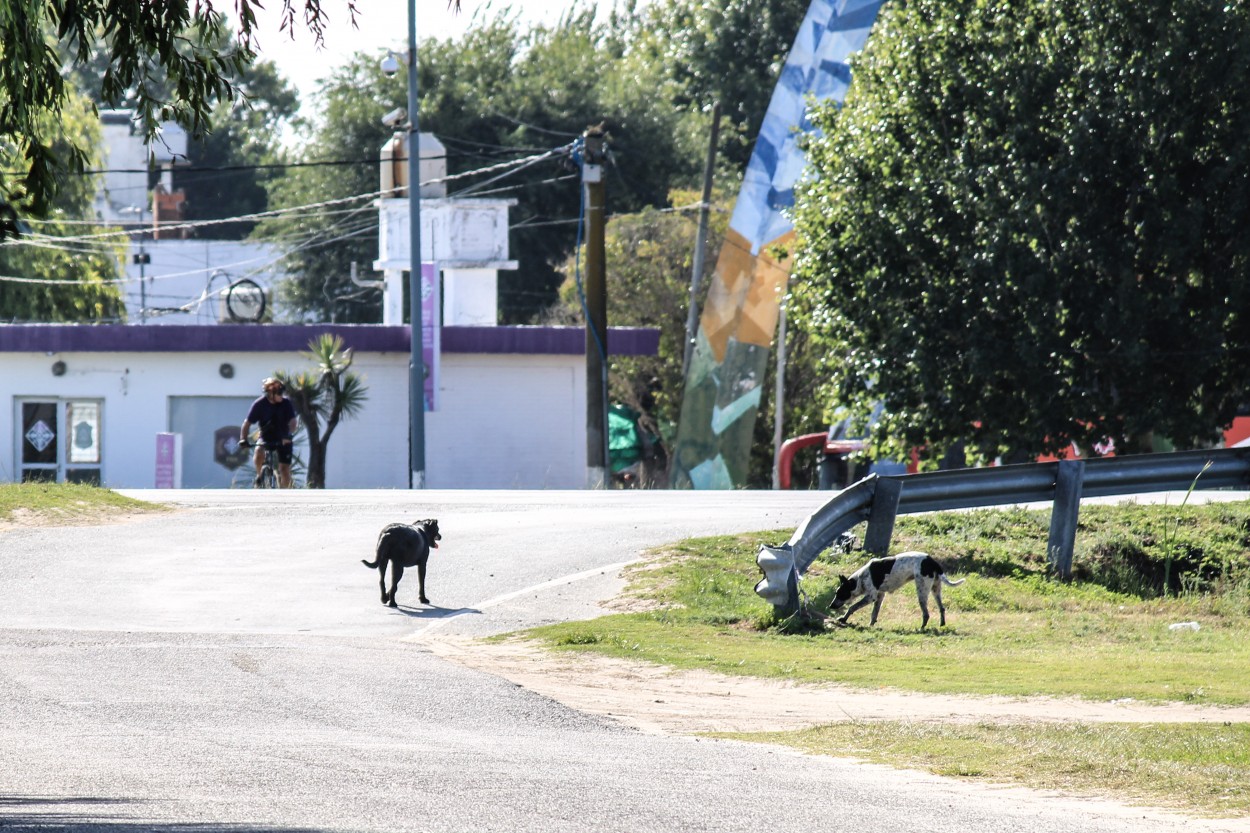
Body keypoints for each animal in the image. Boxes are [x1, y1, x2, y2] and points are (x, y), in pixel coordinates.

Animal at [830, 547, 965, 625]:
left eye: (840, 594)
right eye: (836, 593)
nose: (830, 606)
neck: (860, 579)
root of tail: (932, 561)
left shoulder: (871, 597)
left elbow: (852, 607)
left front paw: (843, 619)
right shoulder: (879, 596)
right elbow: (874, 613)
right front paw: (871, 626)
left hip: (922, 592)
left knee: (926, 614)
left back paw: (921, 628)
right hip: (935, 589)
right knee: (942, 608)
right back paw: (942, 624)